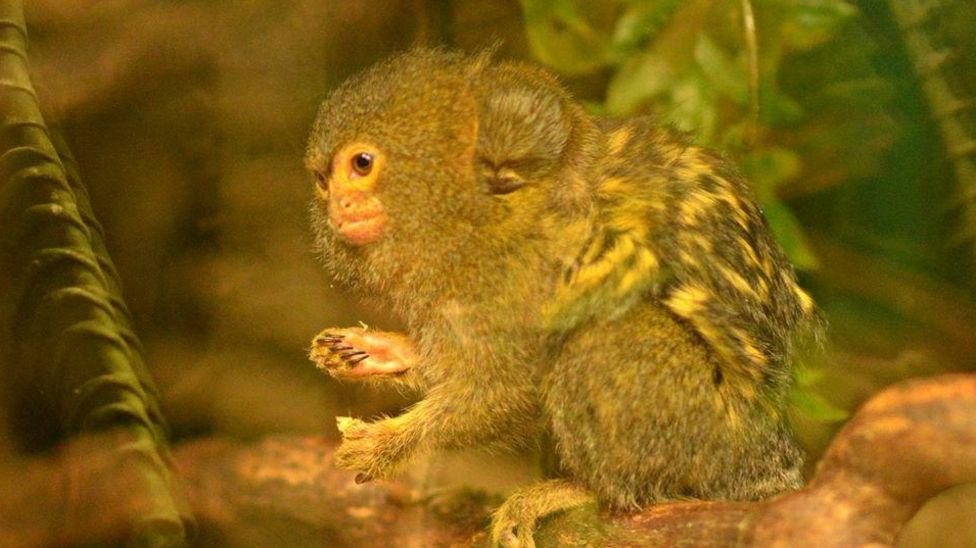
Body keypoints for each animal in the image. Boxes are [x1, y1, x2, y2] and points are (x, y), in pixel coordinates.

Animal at [304, 49, 816, 544]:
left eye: (362, 164)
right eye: (323, 181)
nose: (338, 207)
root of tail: (766, 457)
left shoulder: (522, 274)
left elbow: (511, 386)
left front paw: (388, 445)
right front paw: (378, 352)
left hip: (703, 435)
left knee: (602, 337)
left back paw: (585, 490)